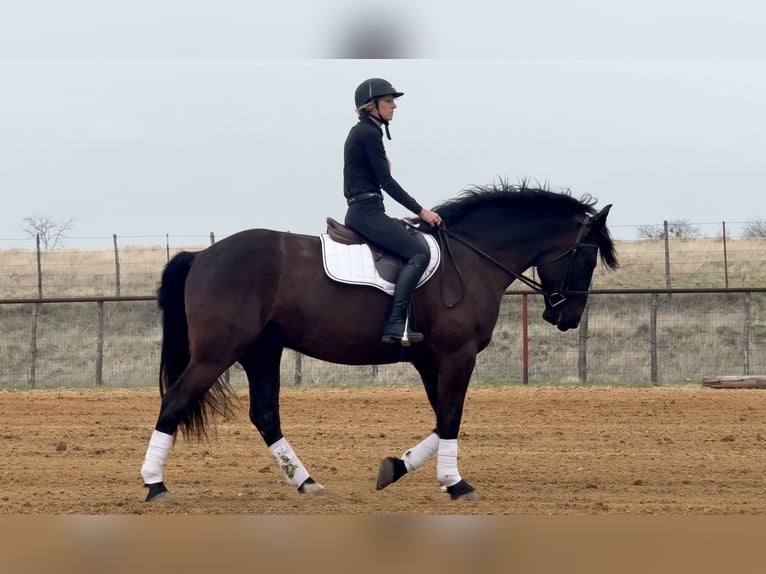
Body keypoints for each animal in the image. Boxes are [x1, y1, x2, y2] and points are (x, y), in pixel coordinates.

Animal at [140, 181, 618, 503]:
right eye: (587, 257)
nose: (566, 318)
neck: (470, 259)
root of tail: (202, 255)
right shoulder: (456, 356)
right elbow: (451, 417)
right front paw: (456, 484)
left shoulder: (430, 360)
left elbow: (441, 419)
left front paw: (397, 466)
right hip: (218, 352)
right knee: (175, 401)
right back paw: (155, 485)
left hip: (261, 352)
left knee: (265, 415)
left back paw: (307, 482)